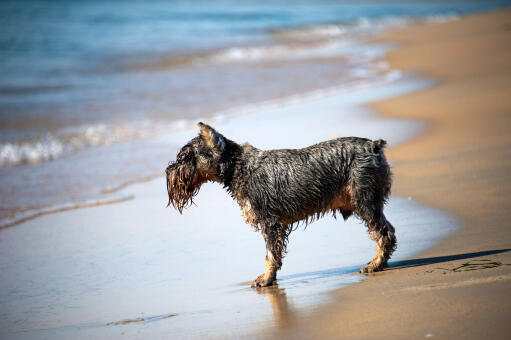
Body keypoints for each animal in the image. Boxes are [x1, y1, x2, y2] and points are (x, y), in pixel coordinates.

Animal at [166, 122, 398, 286]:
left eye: (187, 156)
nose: (169, 171)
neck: (237, 167)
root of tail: (374, 146)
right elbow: (274, 254)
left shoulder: (269, 222)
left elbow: (270, 254)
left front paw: (267, 279)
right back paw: (380, 262)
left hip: (365, 201)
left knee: (383, 233)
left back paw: (375, 264)